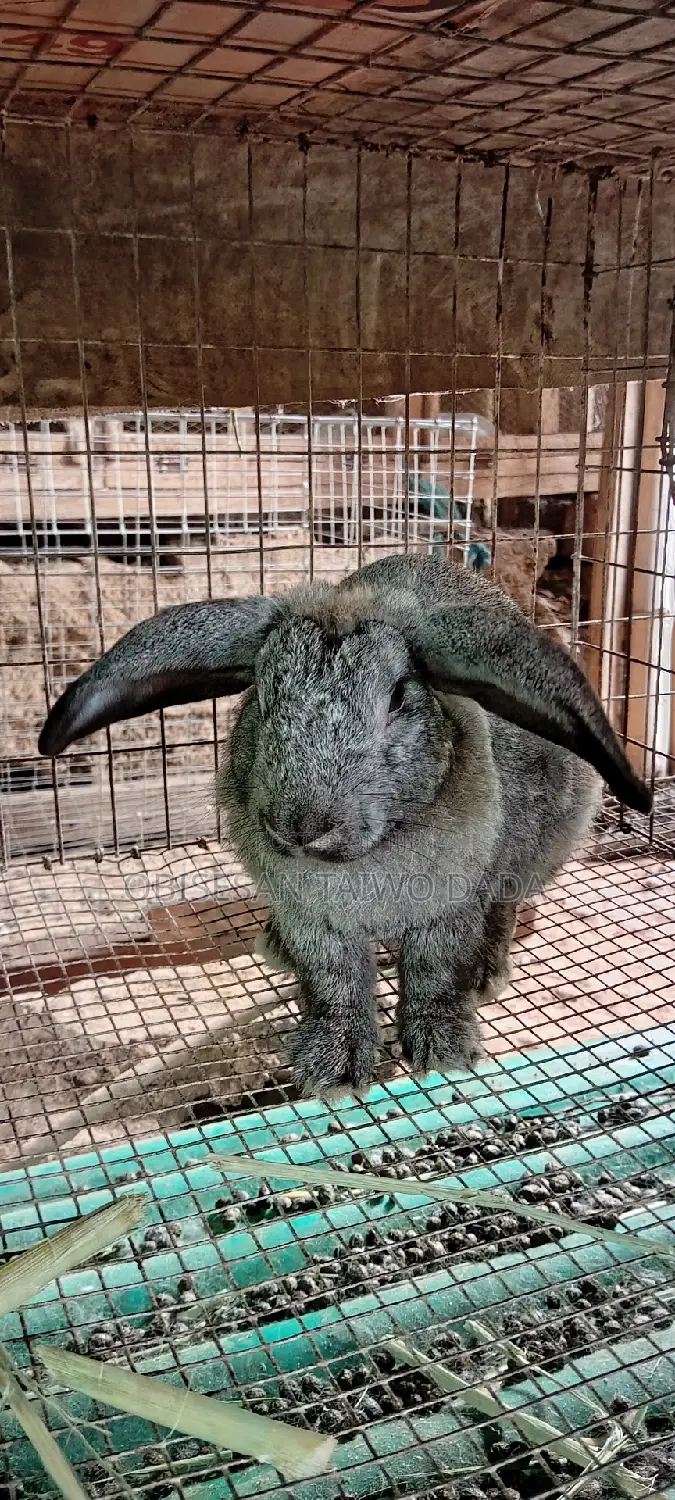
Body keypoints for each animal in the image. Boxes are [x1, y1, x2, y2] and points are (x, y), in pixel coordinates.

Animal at [38, 552, 652, 1099]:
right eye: (262, 694)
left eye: (400, 697)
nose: (300, 826)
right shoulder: (314, 922)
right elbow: (335, 985)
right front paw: (331, 1069)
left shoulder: (447, 909)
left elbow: (434, 972)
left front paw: (442, 1050)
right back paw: (275, 946)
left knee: (506, 906)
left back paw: (487, 973)